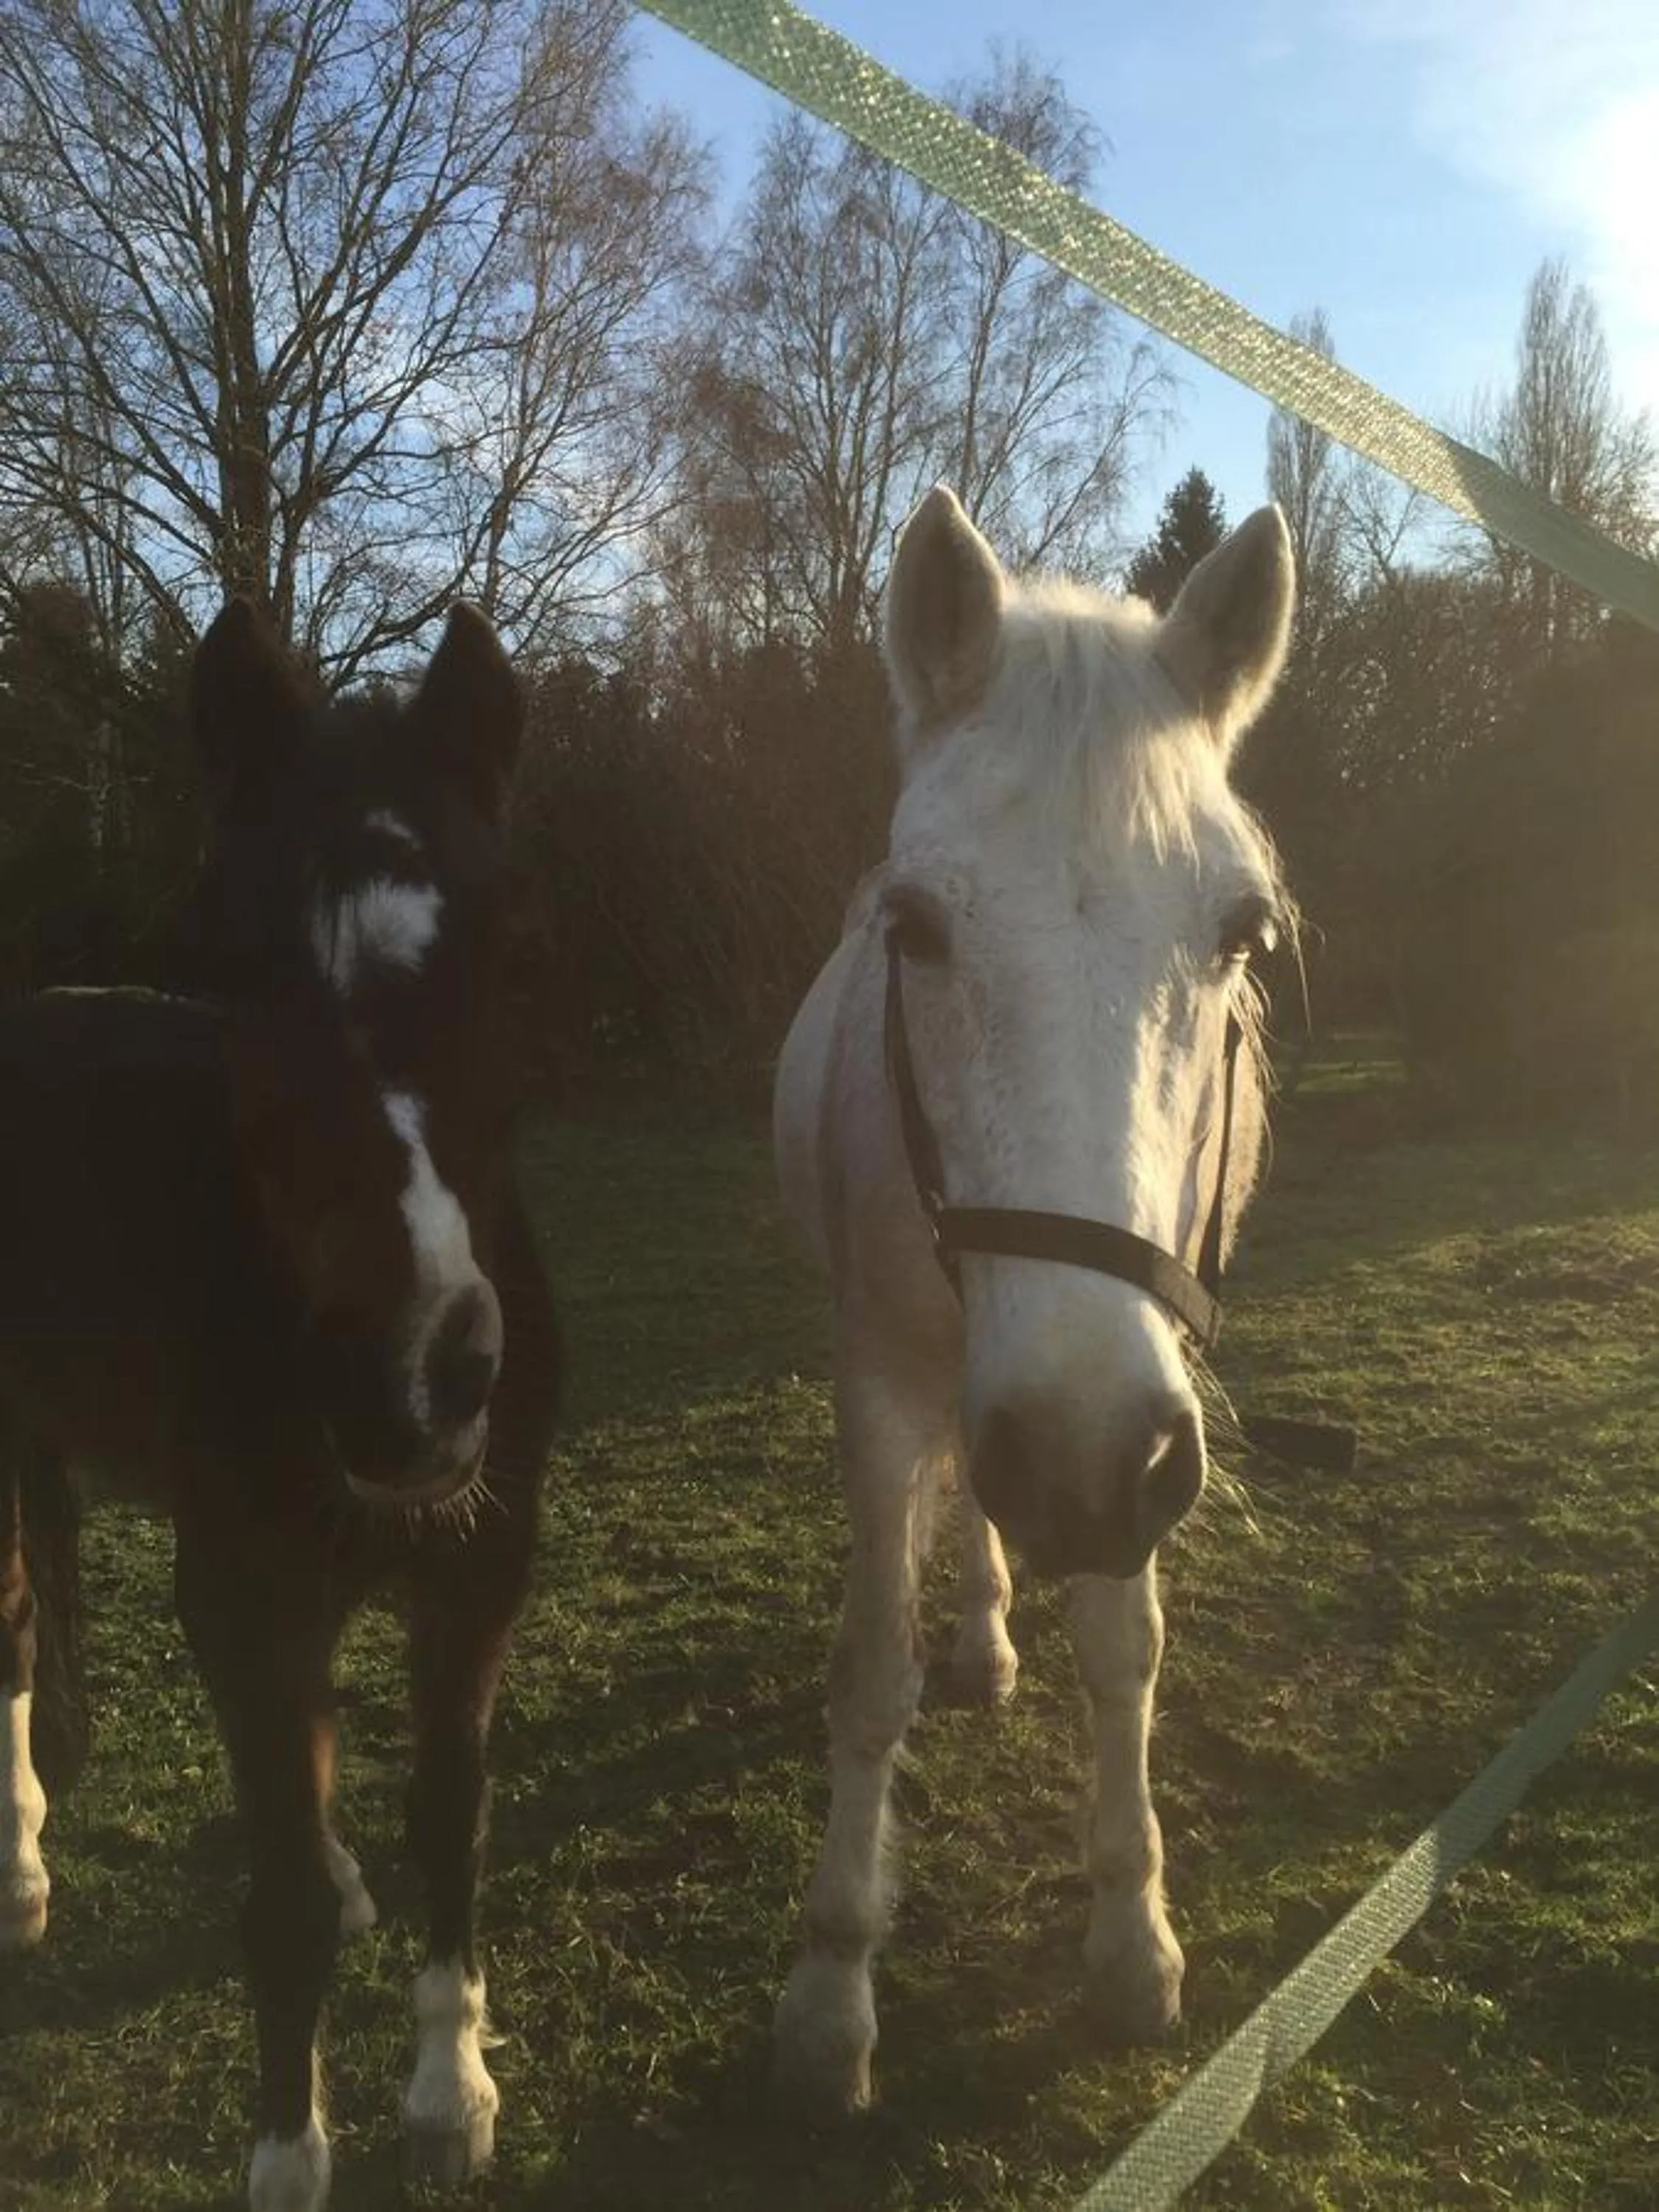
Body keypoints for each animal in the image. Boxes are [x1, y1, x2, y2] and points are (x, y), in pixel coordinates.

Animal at [0, 600, 561, 2211]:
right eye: (235, 976)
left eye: (512, 961)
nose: (408, 1384)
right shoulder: (244, 1596)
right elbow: (286, 1902)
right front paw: (291, 2151)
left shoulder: (477, 1578)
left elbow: (449, 1814)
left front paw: (451, 2092)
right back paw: (22, 1874)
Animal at [770, 485, 1295, 2114]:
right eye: (915, 930)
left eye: (1240, 934)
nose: (1074, 1461)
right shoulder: (883, 1386)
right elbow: (869, 1673)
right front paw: (832, 1990)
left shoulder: (1139, 1403)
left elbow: (1125, 1651)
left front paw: (1133, 1940)